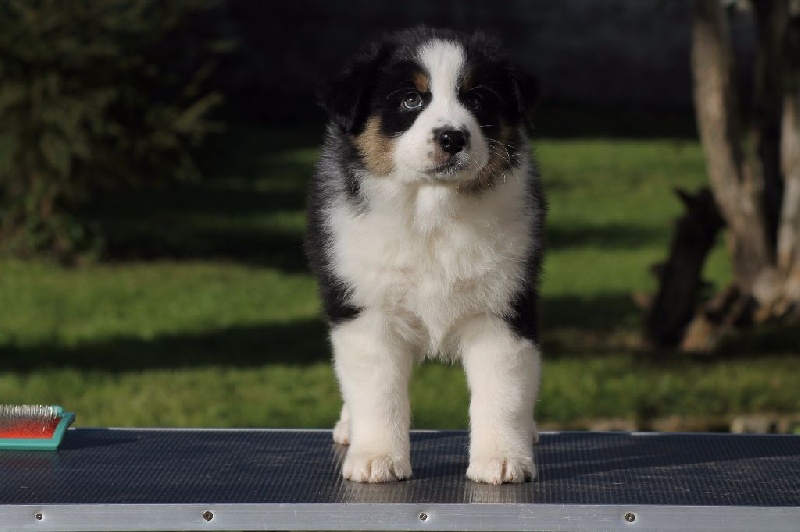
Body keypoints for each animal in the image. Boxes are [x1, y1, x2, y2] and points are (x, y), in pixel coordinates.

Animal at [306, 26, 545, 485]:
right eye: (410, 100)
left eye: (477, 100)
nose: (453, 137)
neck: (432, 213)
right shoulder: (367, 314)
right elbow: (377, 394)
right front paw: (376, 457)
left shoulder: (502, 310)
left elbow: (503, 393)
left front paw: (502, 458)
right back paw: (349, 427)